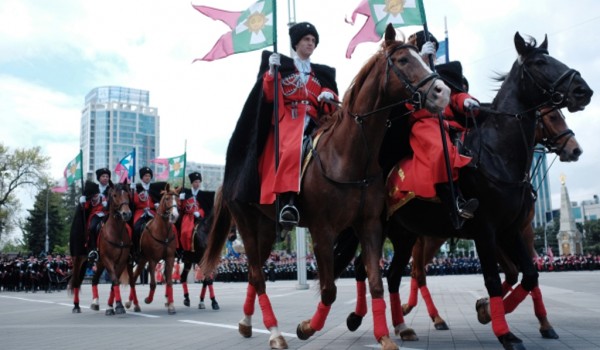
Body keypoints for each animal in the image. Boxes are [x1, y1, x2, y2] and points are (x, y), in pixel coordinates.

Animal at [126, 183, 180, 314]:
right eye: (167, 198)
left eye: (178, 199)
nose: (174, 216)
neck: (162, 232)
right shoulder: (152, 260)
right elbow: (153, 284)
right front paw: (148, 299)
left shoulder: (169, 258)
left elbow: (169, 281)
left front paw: (171, 305)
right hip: (135, 260)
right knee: (132, 279)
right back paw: (132, 303)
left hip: (142, 260)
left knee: (134, 277)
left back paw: (133, 303)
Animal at [202, 24, 450, 350]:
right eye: (403, 60)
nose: (442, 92)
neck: (350, 154)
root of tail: (226, 181)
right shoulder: (322, 230)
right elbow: (329, 289)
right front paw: (307, 328)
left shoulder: (369, 225)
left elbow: (375, 283)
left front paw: (384, 336)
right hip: (246, 222)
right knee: (257, 275)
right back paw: (275, 333)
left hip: (266, 228)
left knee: (255, 276)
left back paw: (246, 323)